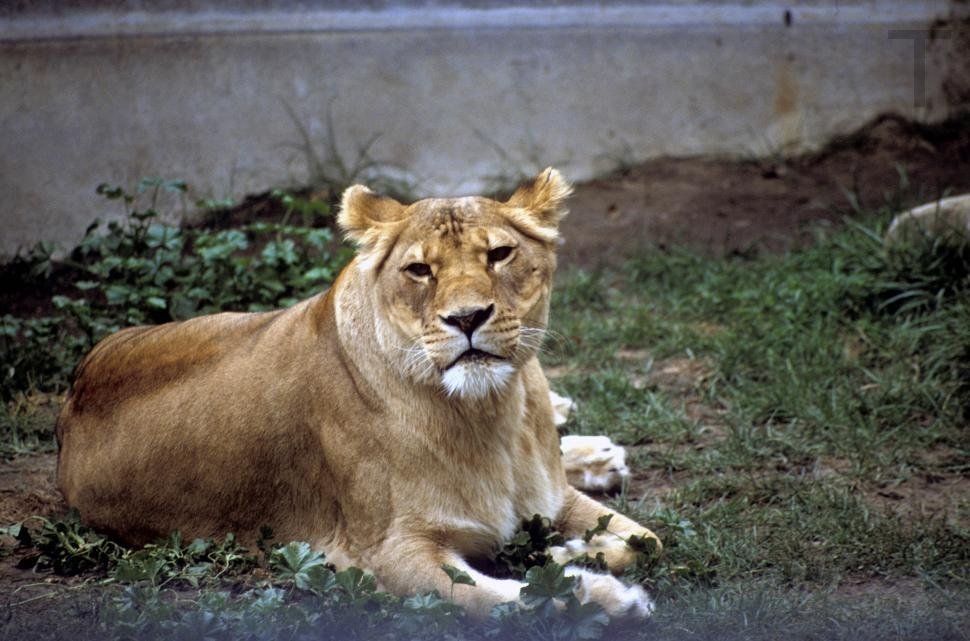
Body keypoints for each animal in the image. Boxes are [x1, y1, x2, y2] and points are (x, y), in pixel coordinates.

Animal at [55, 169, 661, 618]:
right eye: (419, 269)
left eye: (499, 255)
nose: (467, 318)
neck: (490, 411)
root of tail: (72, 397)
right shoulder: (382, 553)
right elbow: (499, 600)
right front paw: (603, 597)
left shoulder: (554, 498)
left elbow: (646, 541)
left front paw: (573, 548)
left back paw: (592, 449)